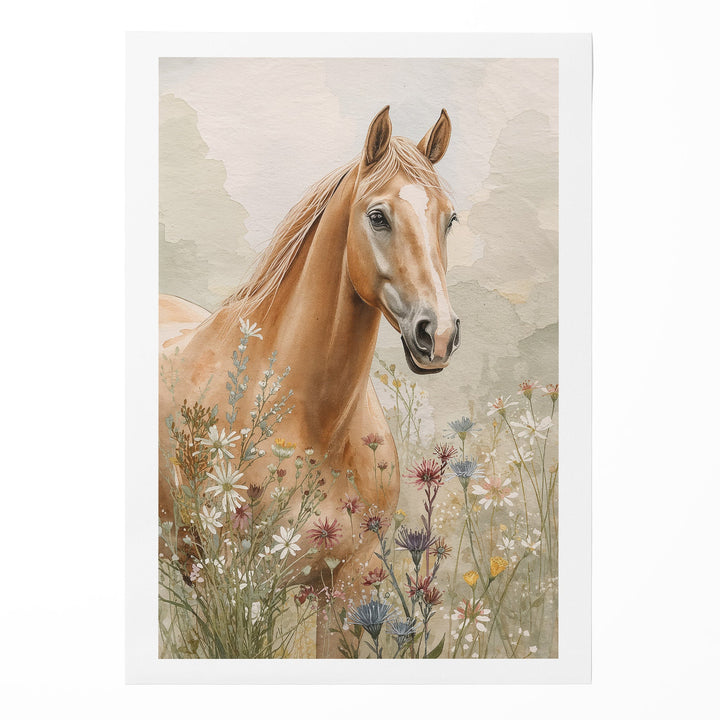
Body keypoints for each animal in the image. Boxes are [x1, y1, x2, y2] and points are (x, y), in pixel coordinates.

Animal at [159, 106, 461, 657]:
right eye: (378, 216)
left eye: (448, 218)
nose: (440, 334)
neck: (316, 421)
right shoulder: (234, 587)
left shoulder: (347, 587)